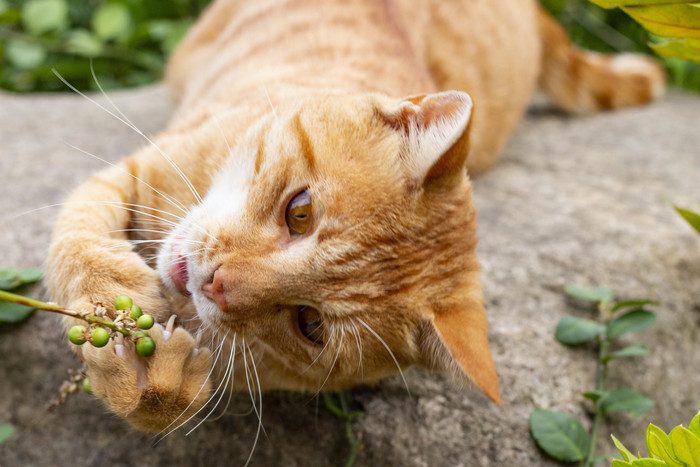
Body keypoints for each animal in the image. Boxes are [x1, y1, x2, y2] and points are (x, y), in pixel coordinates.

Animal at [45, 0, 660, 434]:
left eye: (310, 325)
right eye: (300, 212)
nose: (215, 284)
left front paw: (158, 387)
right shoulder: (134, 170)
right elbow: (76, 238)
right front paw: (110, 300)